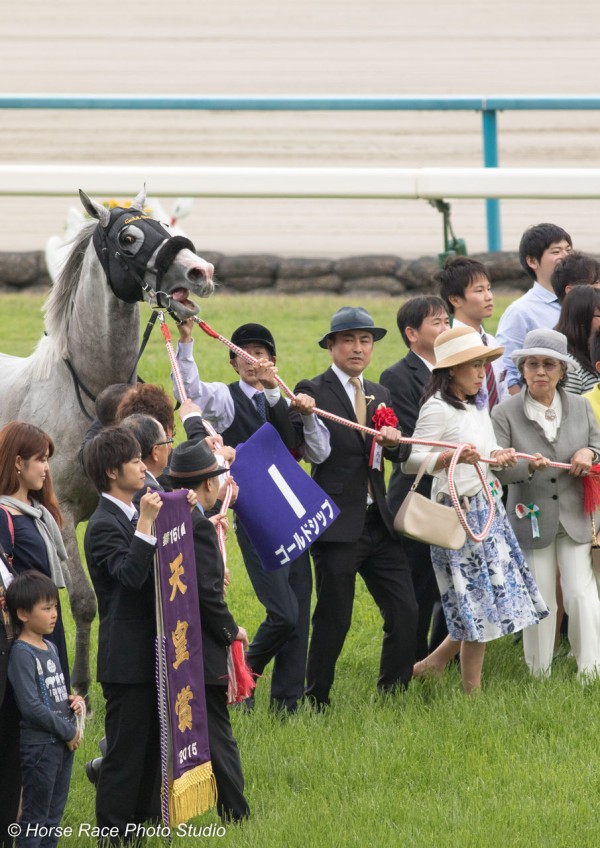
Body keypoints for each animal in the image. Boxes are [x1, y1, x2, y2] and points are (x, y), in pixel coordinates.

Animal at [0, 190, 214, 696]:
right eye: (129, 237)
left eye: (163, 224)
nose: (201, 271)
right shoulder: (60, 515)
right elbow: (81, 601)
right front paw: (79, 687)